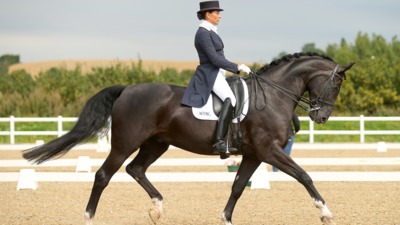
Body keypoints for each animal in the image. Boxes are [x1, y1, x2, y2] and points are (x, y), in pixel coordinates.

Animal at [22, 53, 354, 225]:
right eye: (336, 84)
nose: (321, 117)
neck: (271, 97)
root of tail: (128, 89)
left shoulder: (253, 154)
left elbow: (238, 186)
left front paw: (226, 218)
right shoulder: (269, 150)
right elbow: (304, 175)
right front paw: (325, 212)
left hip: (156, 143)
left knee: (135, 169)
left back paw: (157, 208)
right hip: (125, 143)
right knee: (104, 174)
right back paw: (89, 216)